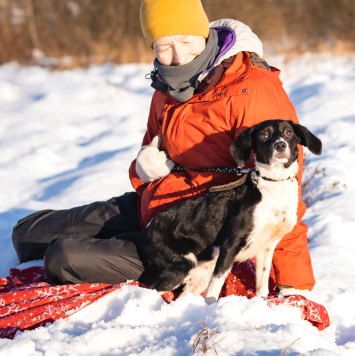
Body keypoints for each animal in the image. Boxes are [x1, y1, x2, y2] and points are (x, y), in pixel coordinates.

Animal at [138, 119, 322, 304]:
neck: (274, 184)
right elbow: (215, 287)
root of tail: (148, 227)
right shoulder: (230, 246)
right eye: (264, 135)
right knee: (150, 290)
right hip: (181, 264)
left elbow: (262, 285)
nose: (280, 145)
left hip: (201, 270)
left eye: (289, 133)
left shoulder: (267, 247)